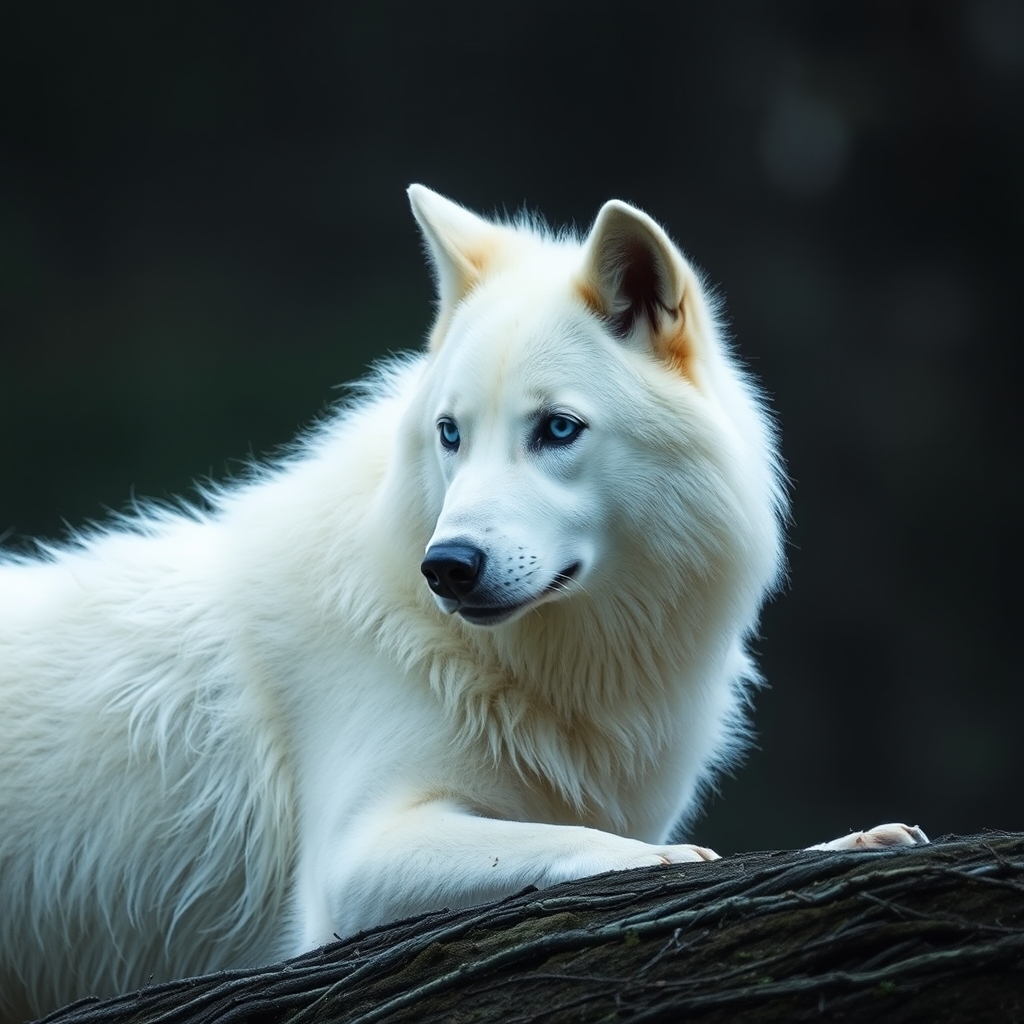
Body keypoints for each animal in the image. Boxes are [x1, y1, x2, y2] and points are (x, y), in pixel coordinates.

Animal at [0, 188, 929, 1019]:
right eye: (451, 433)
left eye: (557, 429)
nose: (444, 568)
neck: (554, 673)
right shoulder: (356, 857)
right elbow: (598, 847)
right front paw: (677, 863)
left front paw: (854, 843)